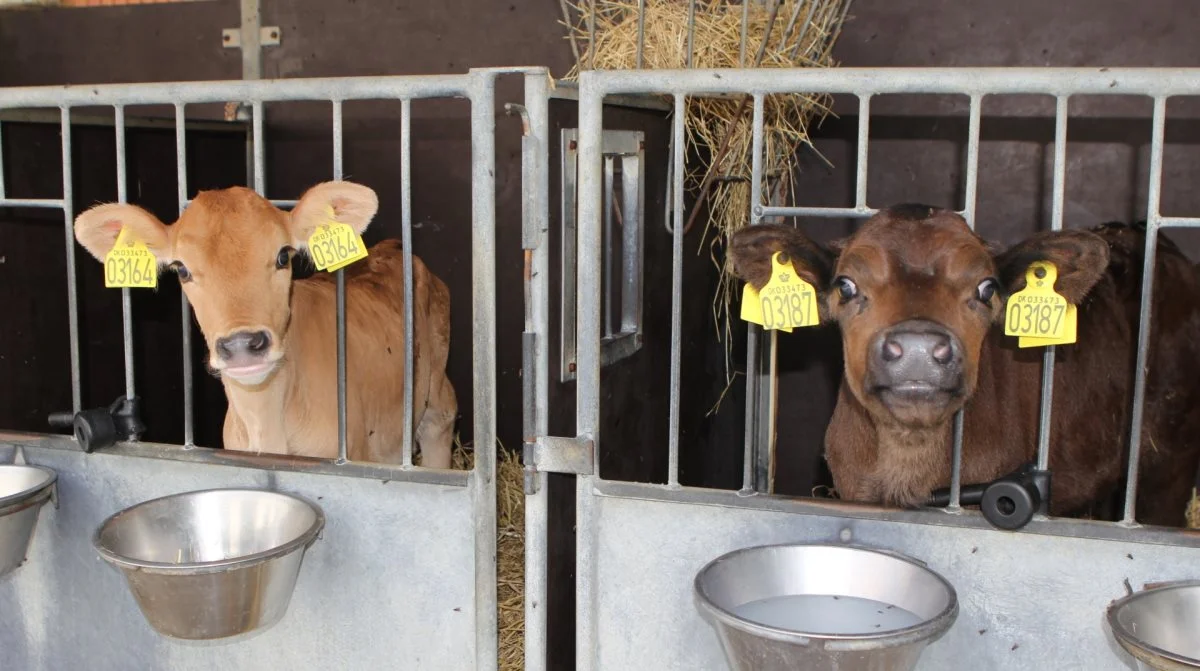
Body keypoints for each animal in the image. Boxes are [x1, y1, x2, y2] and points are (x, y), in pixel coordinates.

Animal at [73, 181, 458, 470]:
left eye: (283, 255)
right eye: (181, 269)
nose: (243, 344)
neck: (267, 422)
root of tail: (390, 247)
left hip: (437, 395)